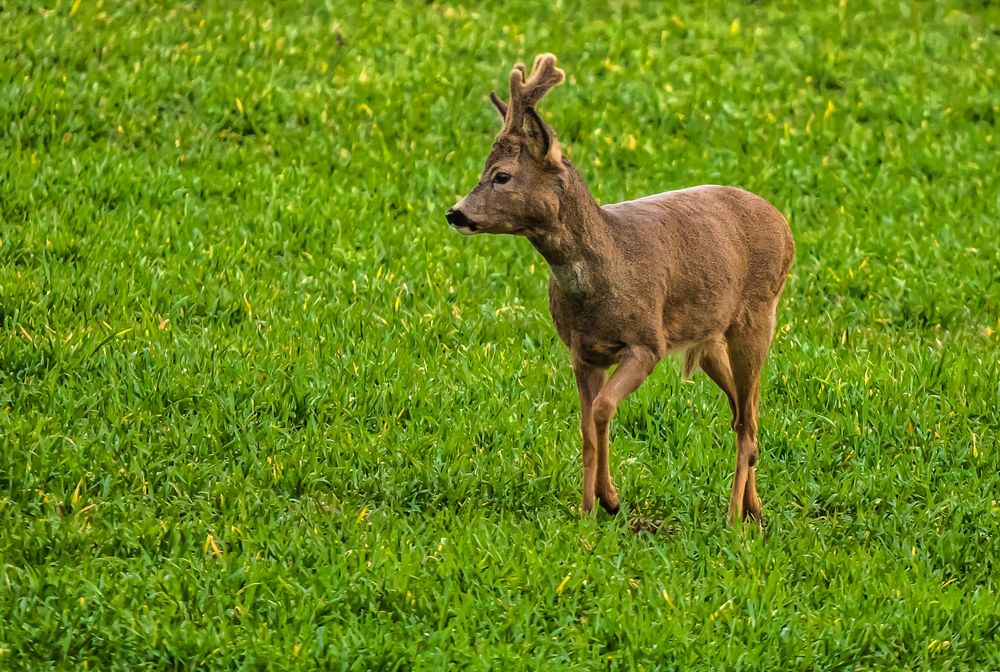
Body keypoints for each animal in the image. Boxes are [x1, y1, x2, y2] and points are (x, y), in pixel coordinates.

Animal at [448, 53, 796, 524]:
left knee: (747, 419)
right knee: (745, 412)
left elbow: (602, 409)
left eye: (502, 175)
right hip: (709, 340)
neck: (607, 270)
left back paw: (732, 519)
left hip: (758, 316)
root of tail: (785, 227)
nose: (455, 213)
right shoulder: (582, 352)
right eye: (482, 169)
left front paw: (608, 499)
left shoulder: (647, 342)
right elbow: (586, 425)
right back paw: (753, 510)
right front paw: (588, 508)